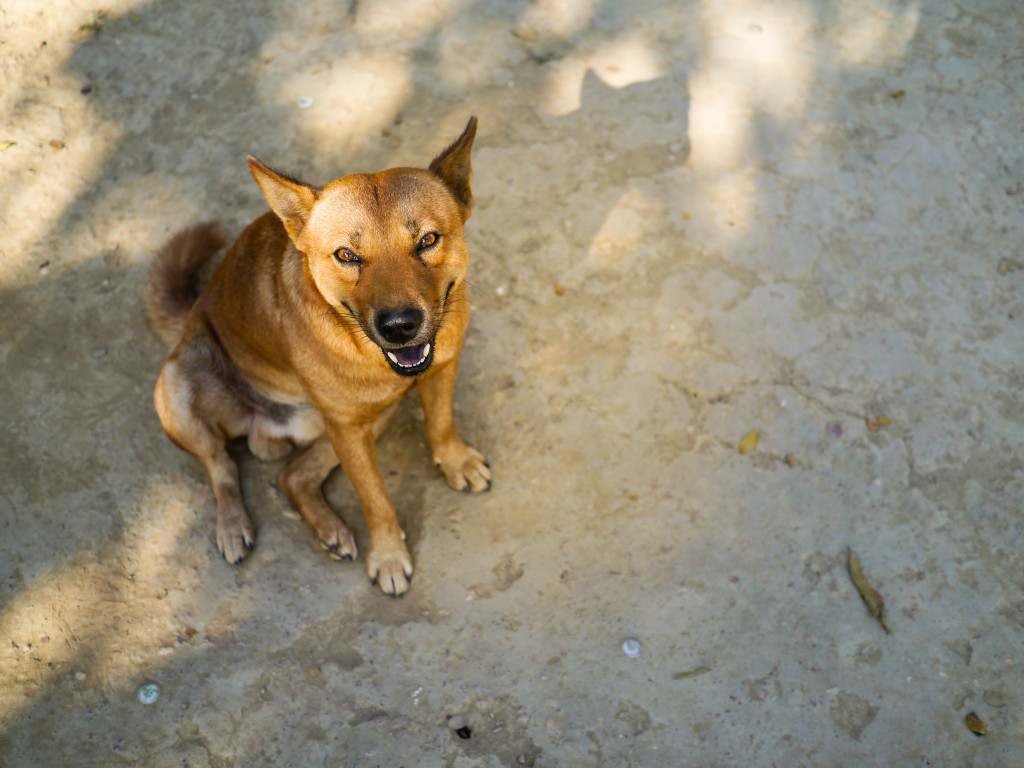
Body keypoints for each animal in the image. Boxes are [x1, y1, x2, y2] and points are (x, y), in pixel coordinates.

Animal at [145, 118, 491, 593]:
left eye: (427, 240)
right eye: (346, 254)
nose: (400, 325)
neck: (366, 352)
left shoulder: (437, 372)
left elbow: (440, 424)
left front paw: (454, 459)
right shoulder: (348, 428)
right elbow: (376, 498)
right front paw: (388, 555)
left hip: (372, 417)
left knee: (293, 476)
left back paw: (330, 528)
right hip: (176, 387)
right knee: (221, 466)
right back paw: (232, 526)